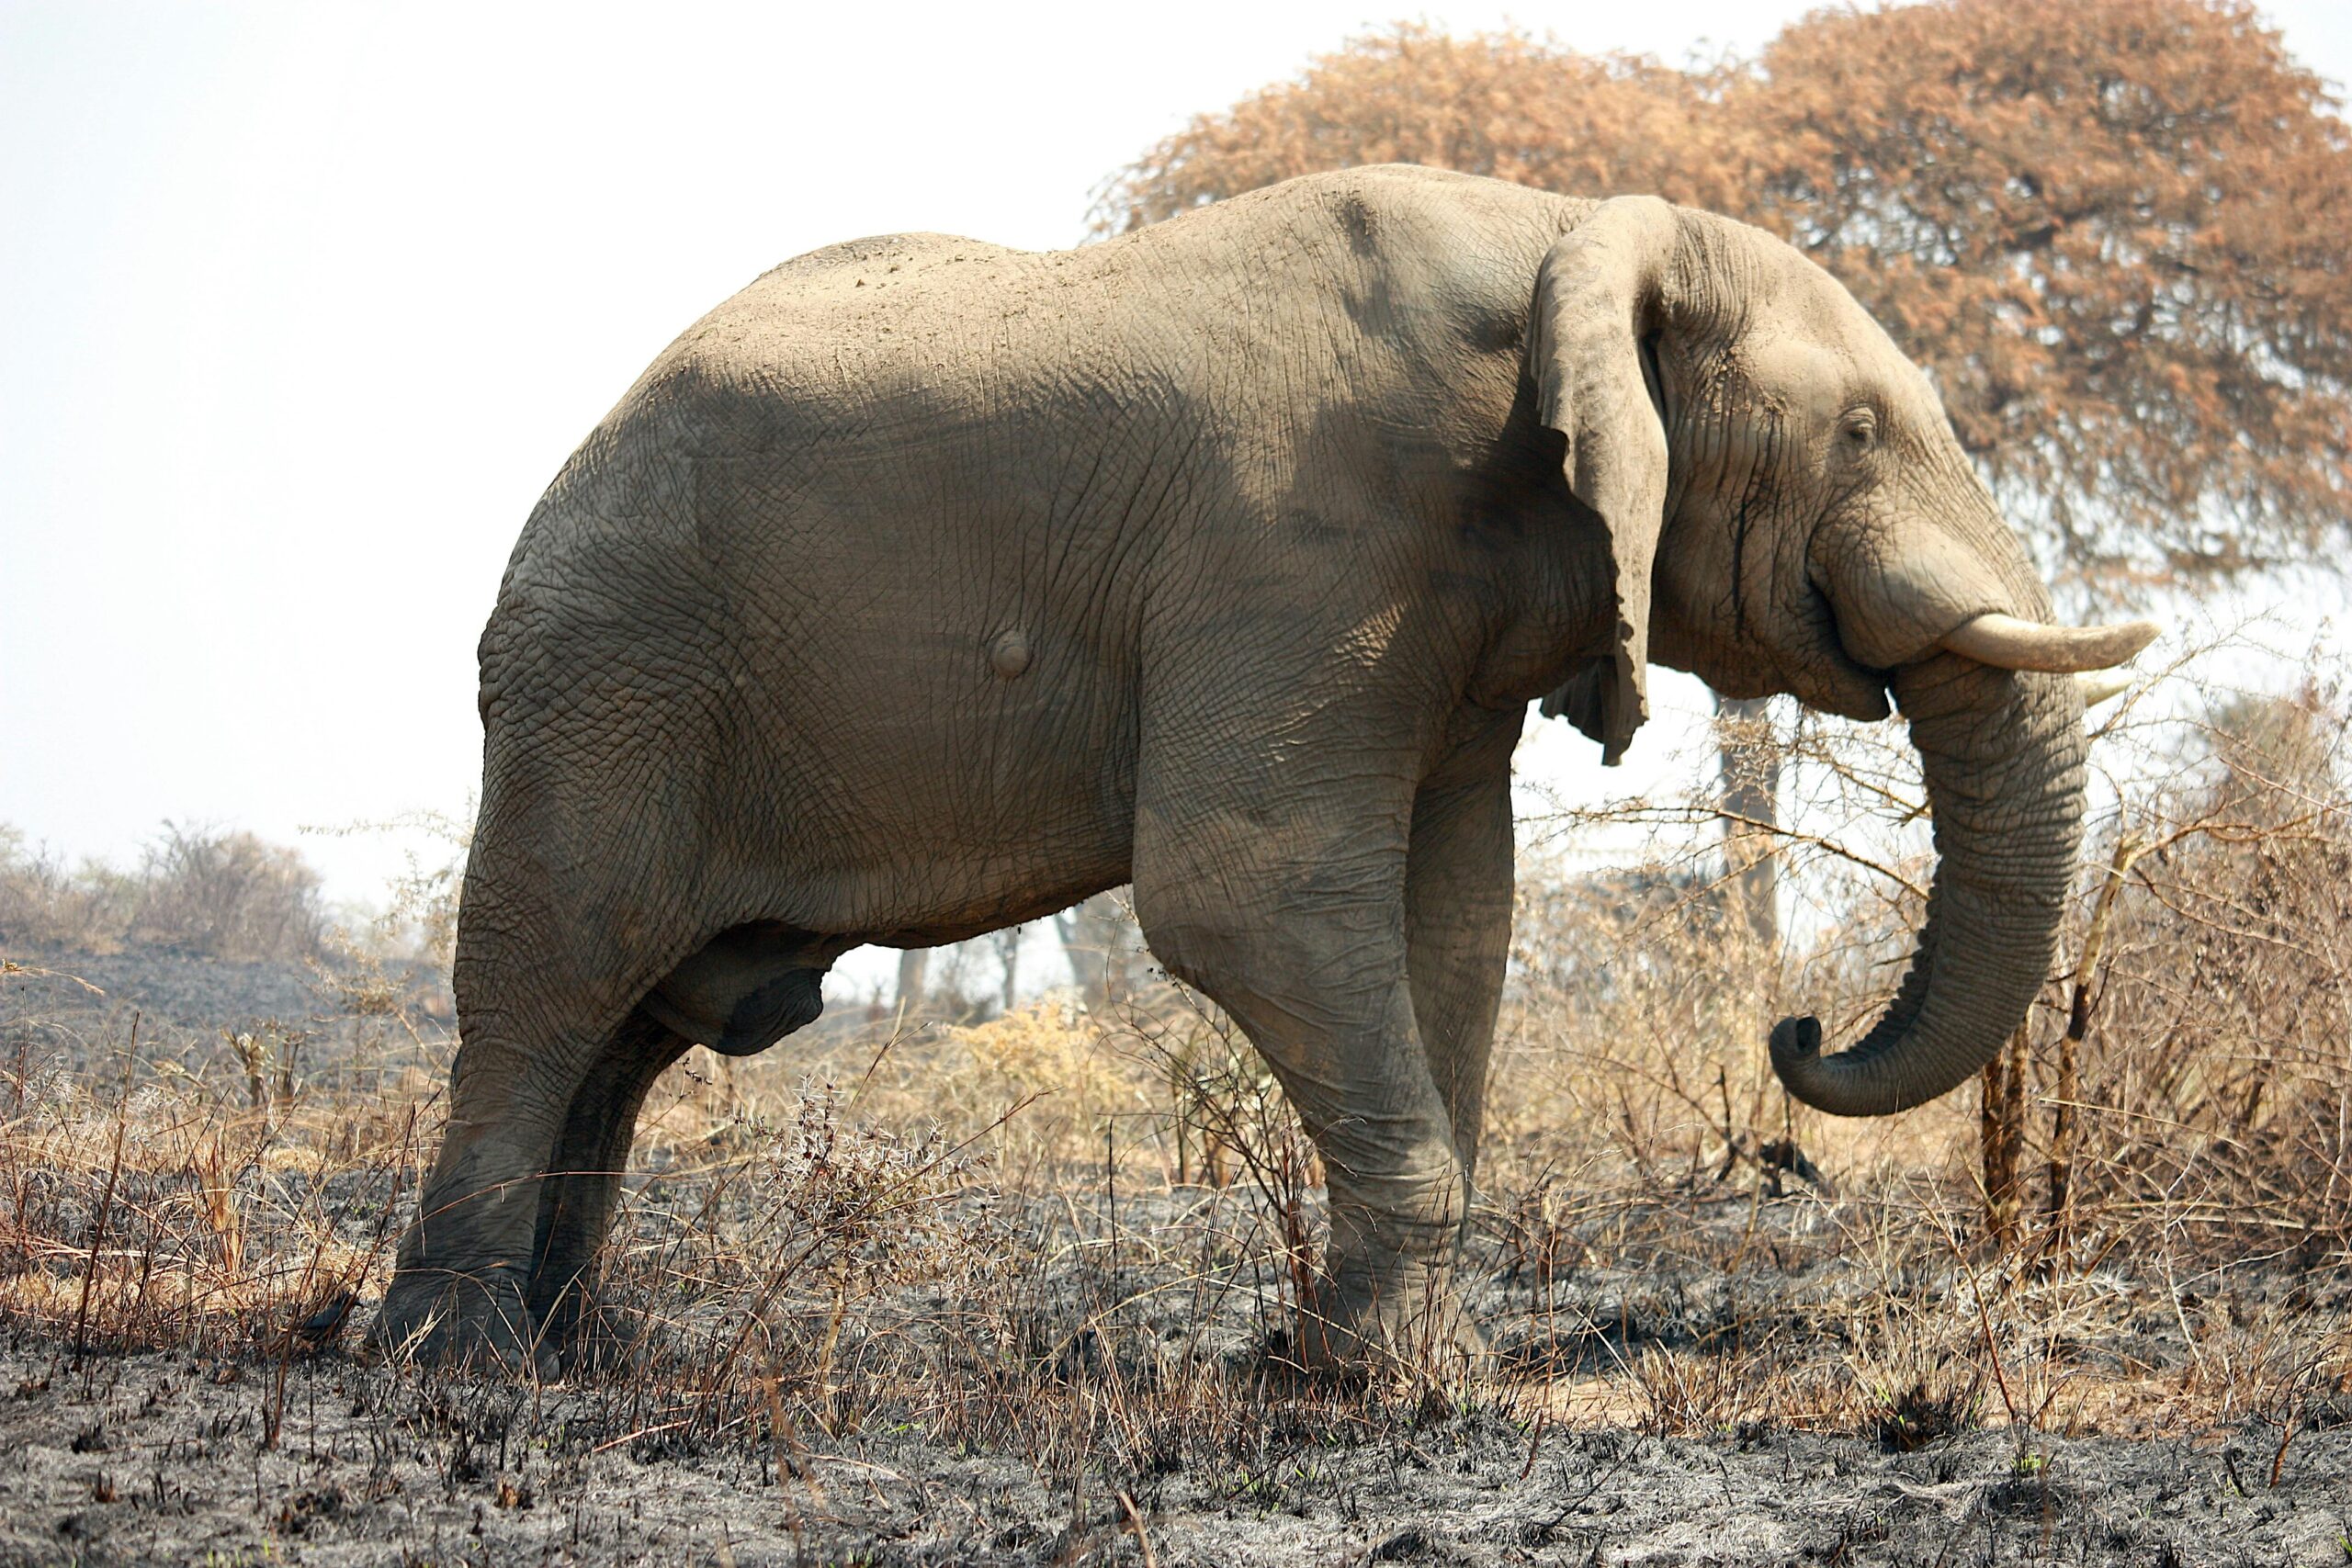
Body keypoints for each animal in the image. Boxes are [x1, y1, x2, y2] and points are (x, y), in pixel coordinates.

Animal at [370, 164, 2153, 1374]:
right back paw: (457, 1364)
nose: (1797, 1033)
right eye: (1859, 432)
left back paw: (579, 1348)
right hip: (607, 668)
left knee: (636, 1022)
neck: (1566, 231)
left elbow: (1455, 920)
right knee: (560, 971)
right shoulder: (1300, 536)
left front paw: (1352, 1361)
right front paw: (1402, 1383)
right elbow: (1249, 891)